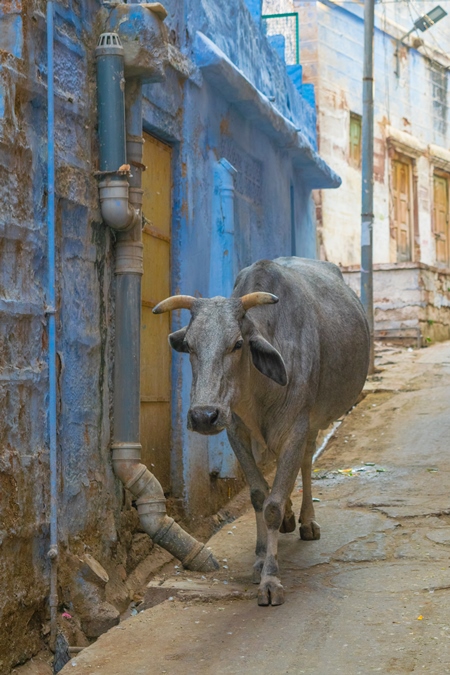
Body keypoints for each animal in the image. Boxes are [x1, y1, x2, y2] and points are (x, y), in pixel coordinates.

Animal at [153, 256, 370, 604]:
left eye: (238, 343)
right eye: (188, 345)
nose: (203, 416)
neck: (259, 391)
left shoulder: (297, 426)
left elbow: (273, 504)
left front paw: (271, 578)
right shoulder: (235, 430)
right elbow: (259, 495)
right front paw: (259, 558)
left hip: (312, 423)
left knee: (305, 462)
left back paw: (306, 521)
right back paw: (290, 519)